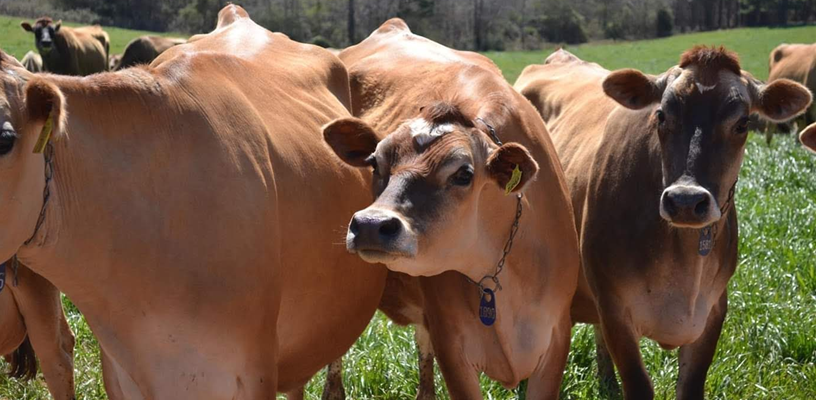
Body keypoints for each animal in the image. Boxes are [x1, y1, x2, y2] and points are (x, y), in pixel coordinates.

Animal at [514, 47, 812, 399]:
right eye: (661, 116)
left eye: (742, 123)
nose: (685, 201)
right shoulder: (614, 308)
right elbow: (638, 384)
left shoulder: (713, 310)